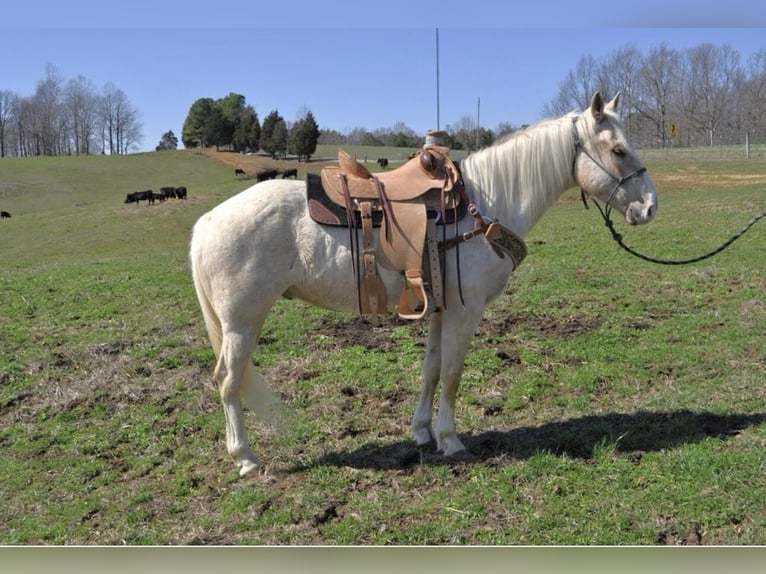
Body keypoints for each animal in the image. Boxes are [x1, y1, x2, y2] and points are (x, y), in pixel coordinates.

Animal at [189, 92, 656, 480]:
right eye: (618, 150)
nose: (650, 207)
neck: (482, 206)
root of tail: (206, 223)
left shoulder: (441, 308)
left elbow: (431, 369)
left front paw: (422, 432)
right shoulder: (466, 311)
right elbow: (452, 373)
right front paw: (450, 440)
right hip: (242, 323)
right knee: (228, 381)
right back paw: (246, 459)